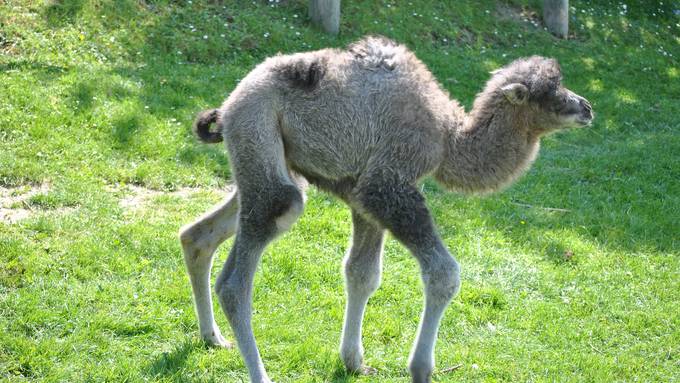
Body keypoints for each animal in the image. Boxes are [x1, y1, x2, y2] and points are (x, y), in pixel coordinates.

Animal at [178, 36, 592, 383]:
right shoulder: (387, 185)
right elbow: (444, 274)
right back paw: (258, 372)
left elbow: (362, 274)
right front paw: (421, 368)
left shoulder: (363, 195)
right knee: (239, 274)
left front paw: (354, 362)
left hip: (266, 158)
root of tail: (231, 101)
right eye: (550, 92)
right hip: (258, 130)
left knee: (199, 234)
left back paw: (212, 337)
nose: (586, 107)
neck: (448, 139)